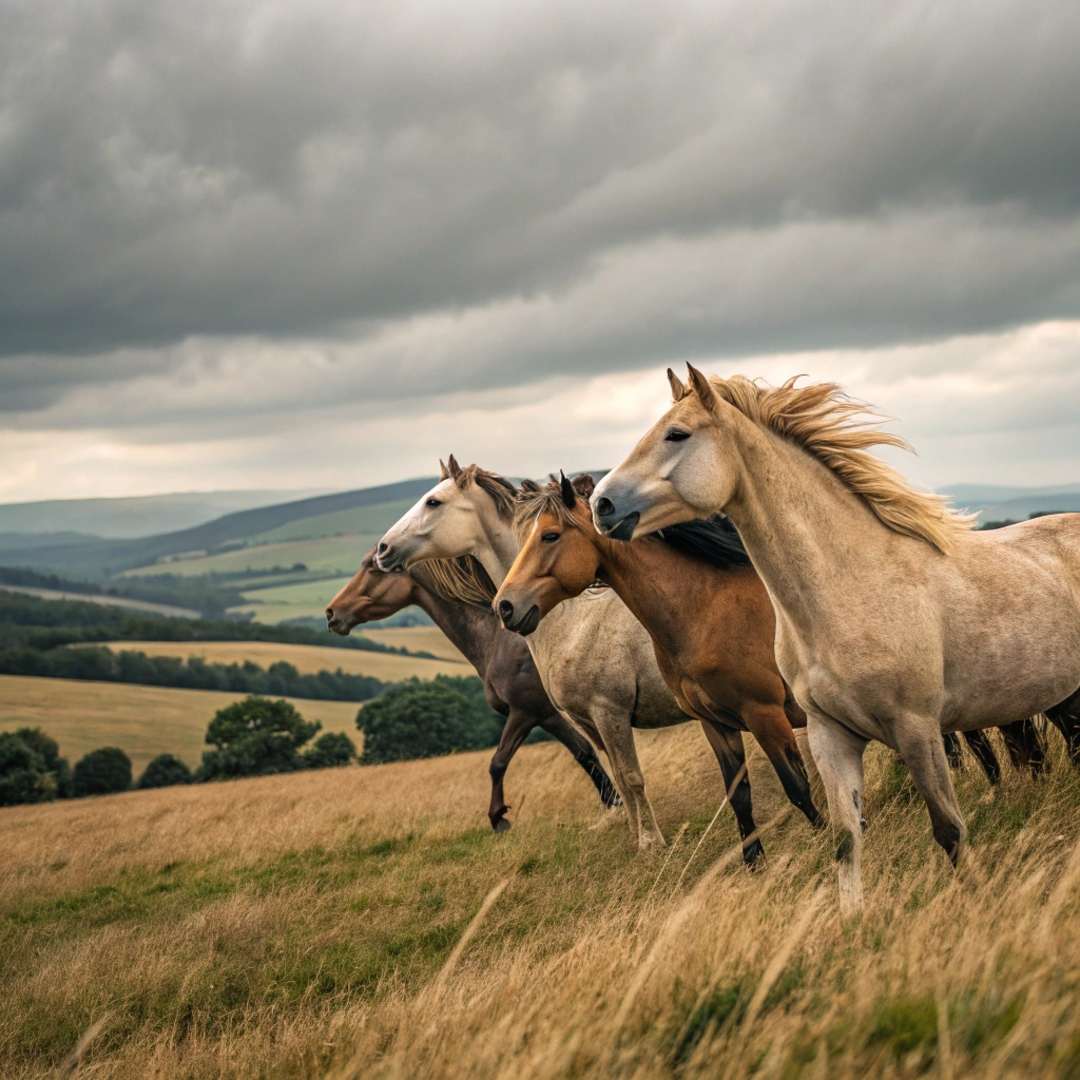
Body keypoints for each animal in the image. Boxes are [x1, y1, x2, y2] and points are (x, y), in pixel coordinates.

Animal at [325, 550, 620, 830]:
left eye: (373, 568)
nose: (331, 613)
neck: (499, 640)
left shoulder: (524, 713)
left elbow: (497, 762)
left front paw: (498, 817)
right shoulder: (547, 715)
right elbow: (584, 753)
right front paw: (613, 803)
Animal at [377, 457, 815, 860]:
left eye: (433, 501)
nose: (382, 549)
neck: (570, 621)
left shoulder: (606, 711)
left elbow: (631, 777)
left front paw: (651, 843)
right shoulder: (585, 719)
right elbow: (618, 776)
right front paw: (636, 837)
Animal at [493, 473, 1044, 841]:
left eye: (550, 535)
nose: (505, 606)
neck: (702, 608)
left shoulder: (766, 715)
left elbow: (797, 786)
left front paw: (825, 839)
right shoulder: (715, 723)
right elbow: (739, 796)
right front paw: (753, 862)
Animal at [593, 365, 1080, 911]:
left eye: (677, 434)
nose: (601, 504)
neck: (849, 585)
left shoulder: (917, 729)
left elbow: (949, 829)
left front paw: (972, 902)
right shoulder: (830, 734)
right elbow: (845, 839)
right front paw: (852, 919)